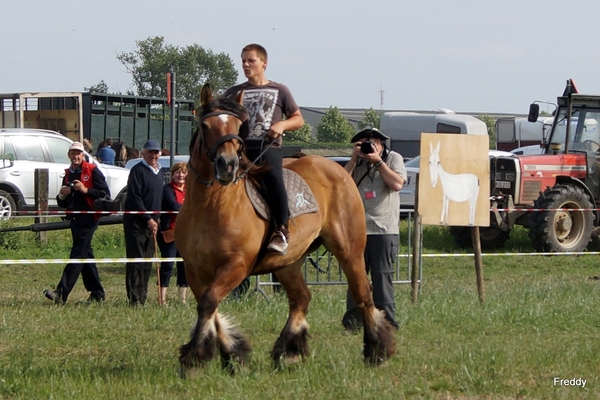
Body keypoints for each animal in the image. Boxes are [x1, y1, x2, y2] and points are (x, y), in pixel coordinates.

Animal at [175, 83, 398, 374]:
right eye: (205, 125)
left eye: (237, 125)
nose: (228, 165)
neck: (212, 204)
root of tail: (338, 168)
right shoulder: (194, 269)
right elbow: (208, 307)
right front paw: (233, 353)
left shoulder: (236, 265)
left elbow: (209, 303)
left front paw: (196, 357)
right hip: (288, 263)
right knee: (301, 297)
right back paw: (290, 350)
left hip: (349, 250)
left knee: (363, 293)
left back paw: (376, 350)